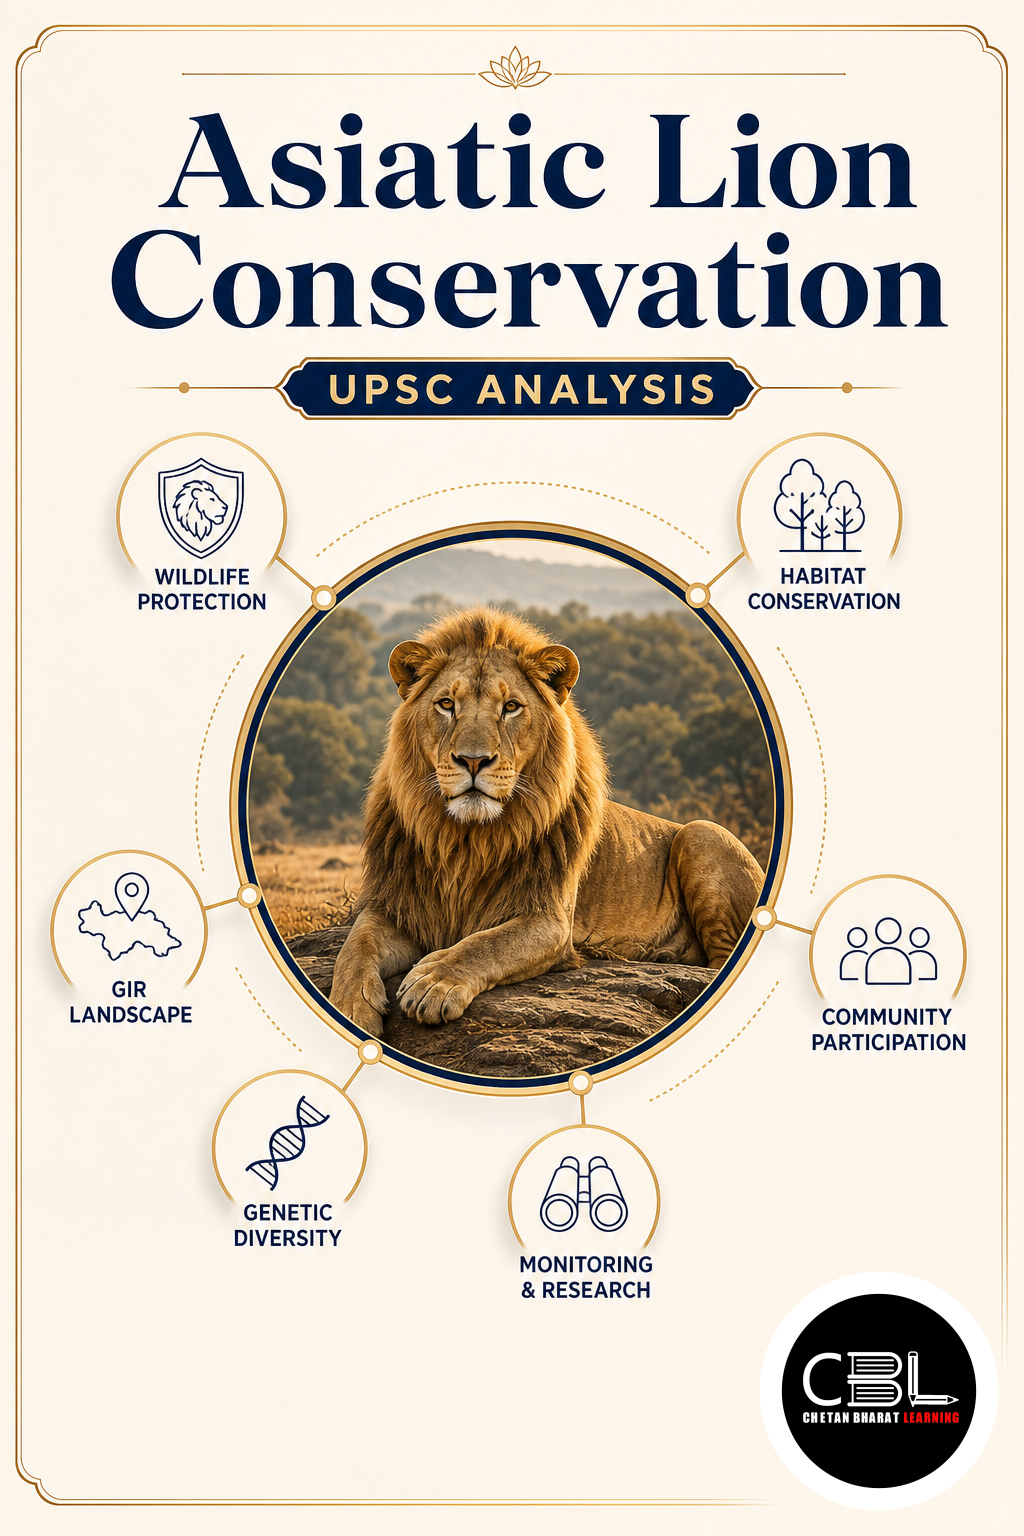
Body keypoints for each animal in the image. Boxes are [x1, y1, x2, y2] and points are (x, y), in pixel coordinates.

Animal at [330, 606, 765, 1032]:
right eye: (446, 704)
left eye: (510, 707)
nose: (473, 760)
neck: (466, 839)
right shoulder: (396, 905)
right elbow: (355, 947)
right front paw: (349, 1008)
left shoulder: (550, 922)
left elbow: (485, 944)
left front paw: (433, 980)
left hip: (702, 832)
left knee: (719, 960)